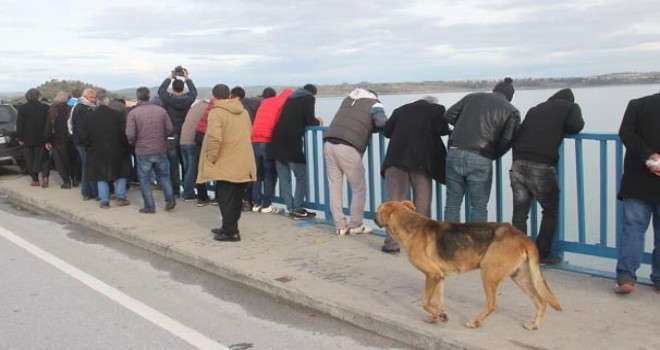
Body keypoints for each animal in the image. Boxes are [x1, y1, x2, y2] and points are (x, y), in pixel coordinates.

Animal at [376, 201, 564, 330]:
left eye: (378, 210)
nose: (375, 216)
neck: (410, 224)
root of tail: (524, 238)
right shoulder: (439, 277)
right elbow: (437, 302)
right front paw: (439, 317)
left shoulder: (432, 275)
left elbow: (425, 302)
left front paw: (439, 316)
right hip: (520, 277)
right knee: (541, 301)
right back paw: (534, 324)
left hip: (488, 274)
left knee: (492, 304)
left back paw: (475, 321)